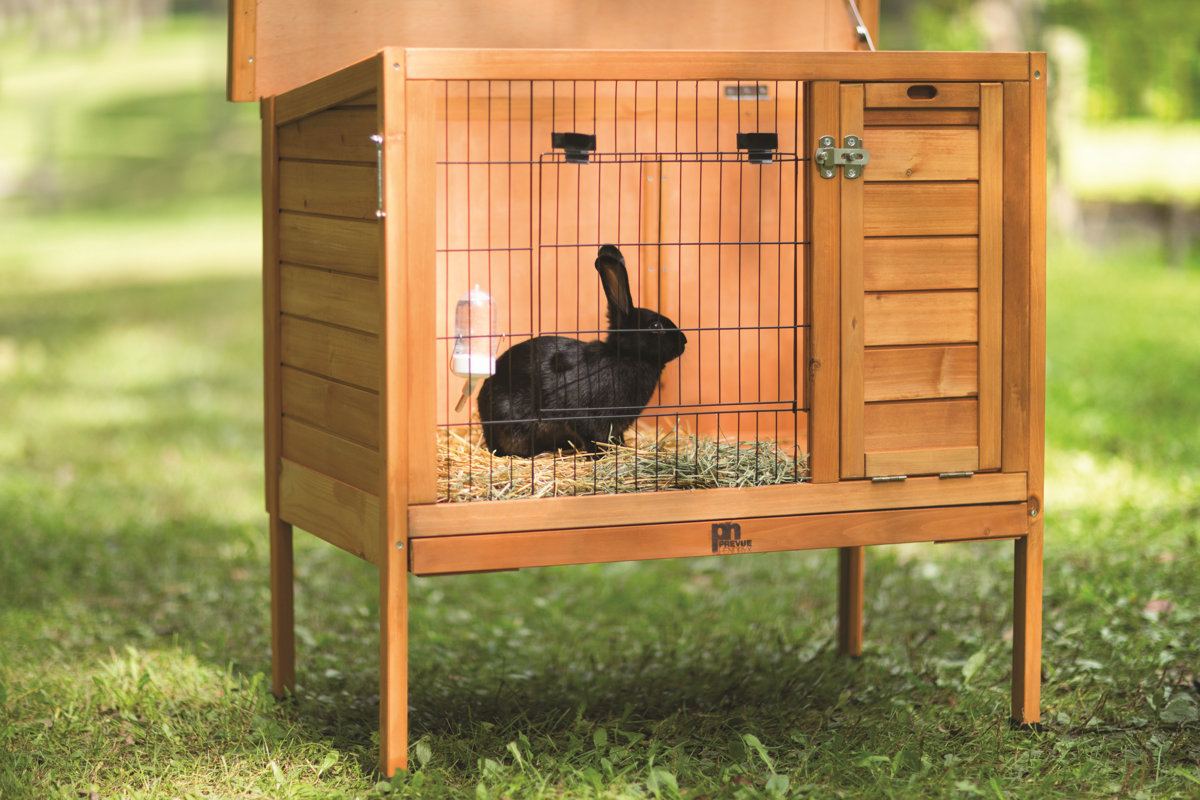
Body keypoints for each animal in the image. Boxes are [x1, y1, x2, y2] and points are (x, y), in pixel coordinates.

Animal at [476, 244, 687, 457]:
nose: (684, 341)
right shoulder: (589, 417)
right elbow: (594, 437)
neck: (624, 356)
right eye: (656, 325)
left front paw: (622, 448)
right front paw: (600, 456)